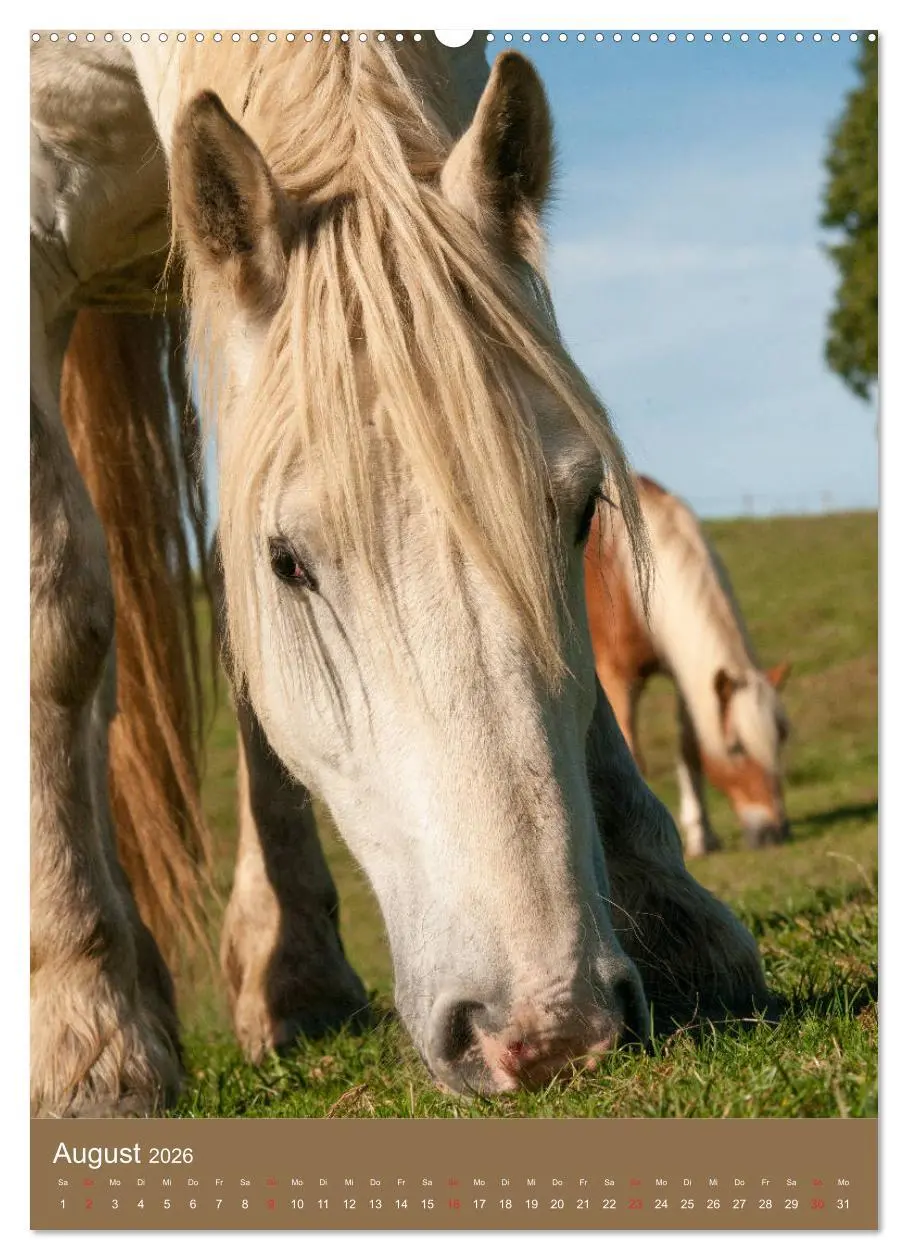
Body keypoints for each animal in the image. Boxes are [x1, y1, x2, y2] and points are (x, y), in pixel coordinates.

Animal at [30, 32, 771, 1117]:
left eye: (583, 513)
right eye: (288, 562)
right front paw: (86, 1033)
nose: (548, 1029)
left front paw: (680, 927)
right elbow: (60, 612)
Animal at [585, 474, 793, 857]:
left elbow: (689, 749)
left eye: (781, 738)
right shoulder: (618, 678)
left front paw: (701, 836)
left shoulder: (688, 678)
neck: (623, 570)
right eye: (736, 748)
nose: (774, 833)